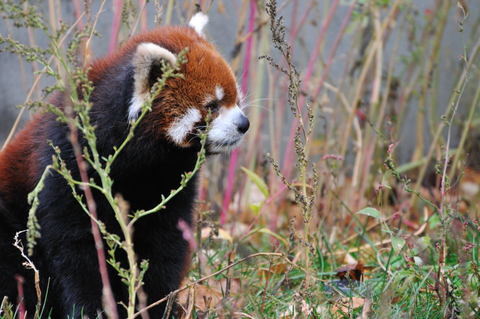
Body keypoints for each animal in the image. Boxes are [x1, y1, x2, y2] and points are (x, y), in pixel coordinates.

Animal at [0, 11, 248, 318]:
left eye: (235, 99)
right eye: (212, 105)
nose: (244, 124)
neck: (139, 163)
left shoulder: (168, 184)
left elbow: (165, 247)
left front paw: (157, 305)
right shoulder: (65, 170)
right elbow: (76, 251)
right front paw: (92, 309)